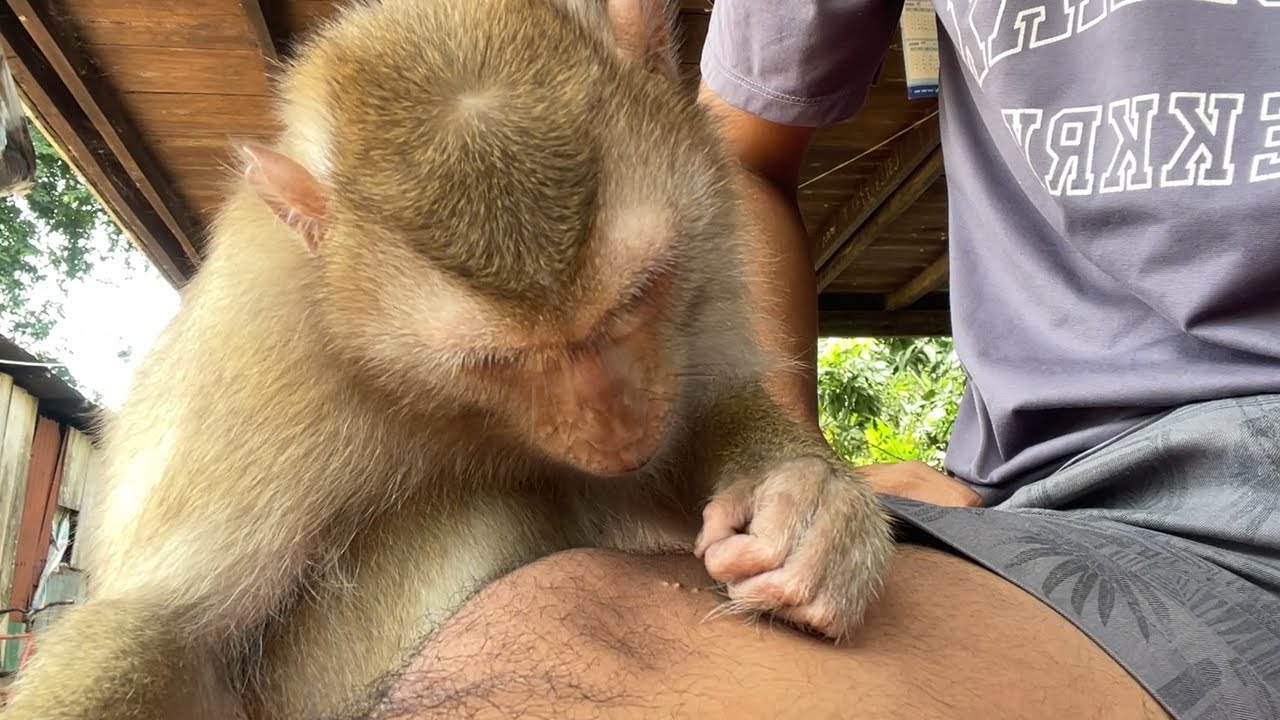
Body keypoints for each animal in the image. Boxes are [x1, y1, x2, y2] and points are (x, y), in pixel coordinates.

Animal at [0, 0, 895, 717]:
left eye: (640, 293)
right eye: (494, 360)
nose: (617, 428)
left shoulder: (706, 254)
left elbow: (698, 418)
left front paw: (802, 500)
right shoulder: (266, 358)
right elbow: (169, 626)